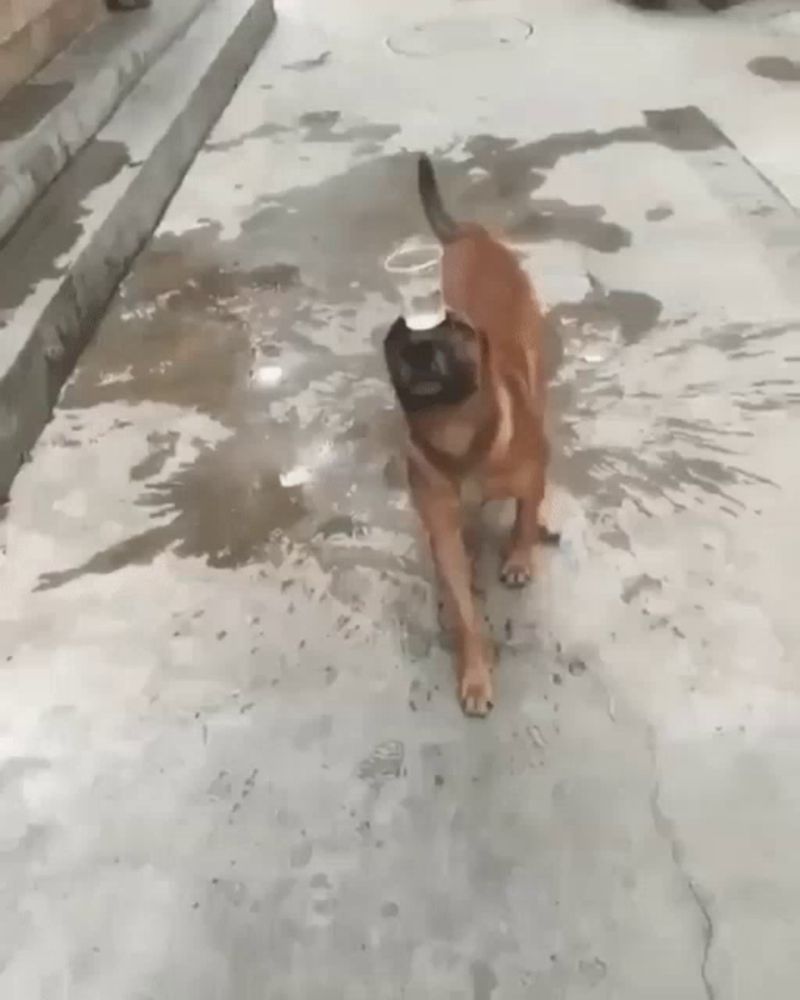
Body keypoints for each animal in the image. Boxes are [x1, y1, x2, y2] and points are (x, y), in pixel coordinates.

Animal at [384, 154, 560, 720]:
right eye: (396, 339)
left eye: (456, 332)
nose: (420, 349)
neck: (460, 438)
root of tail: (469, 234)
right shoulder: (440, 523)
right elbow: (465, 614)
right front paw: (476, 675)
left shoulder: (530, 472)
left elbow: (524, 517)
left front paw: (520, 556)